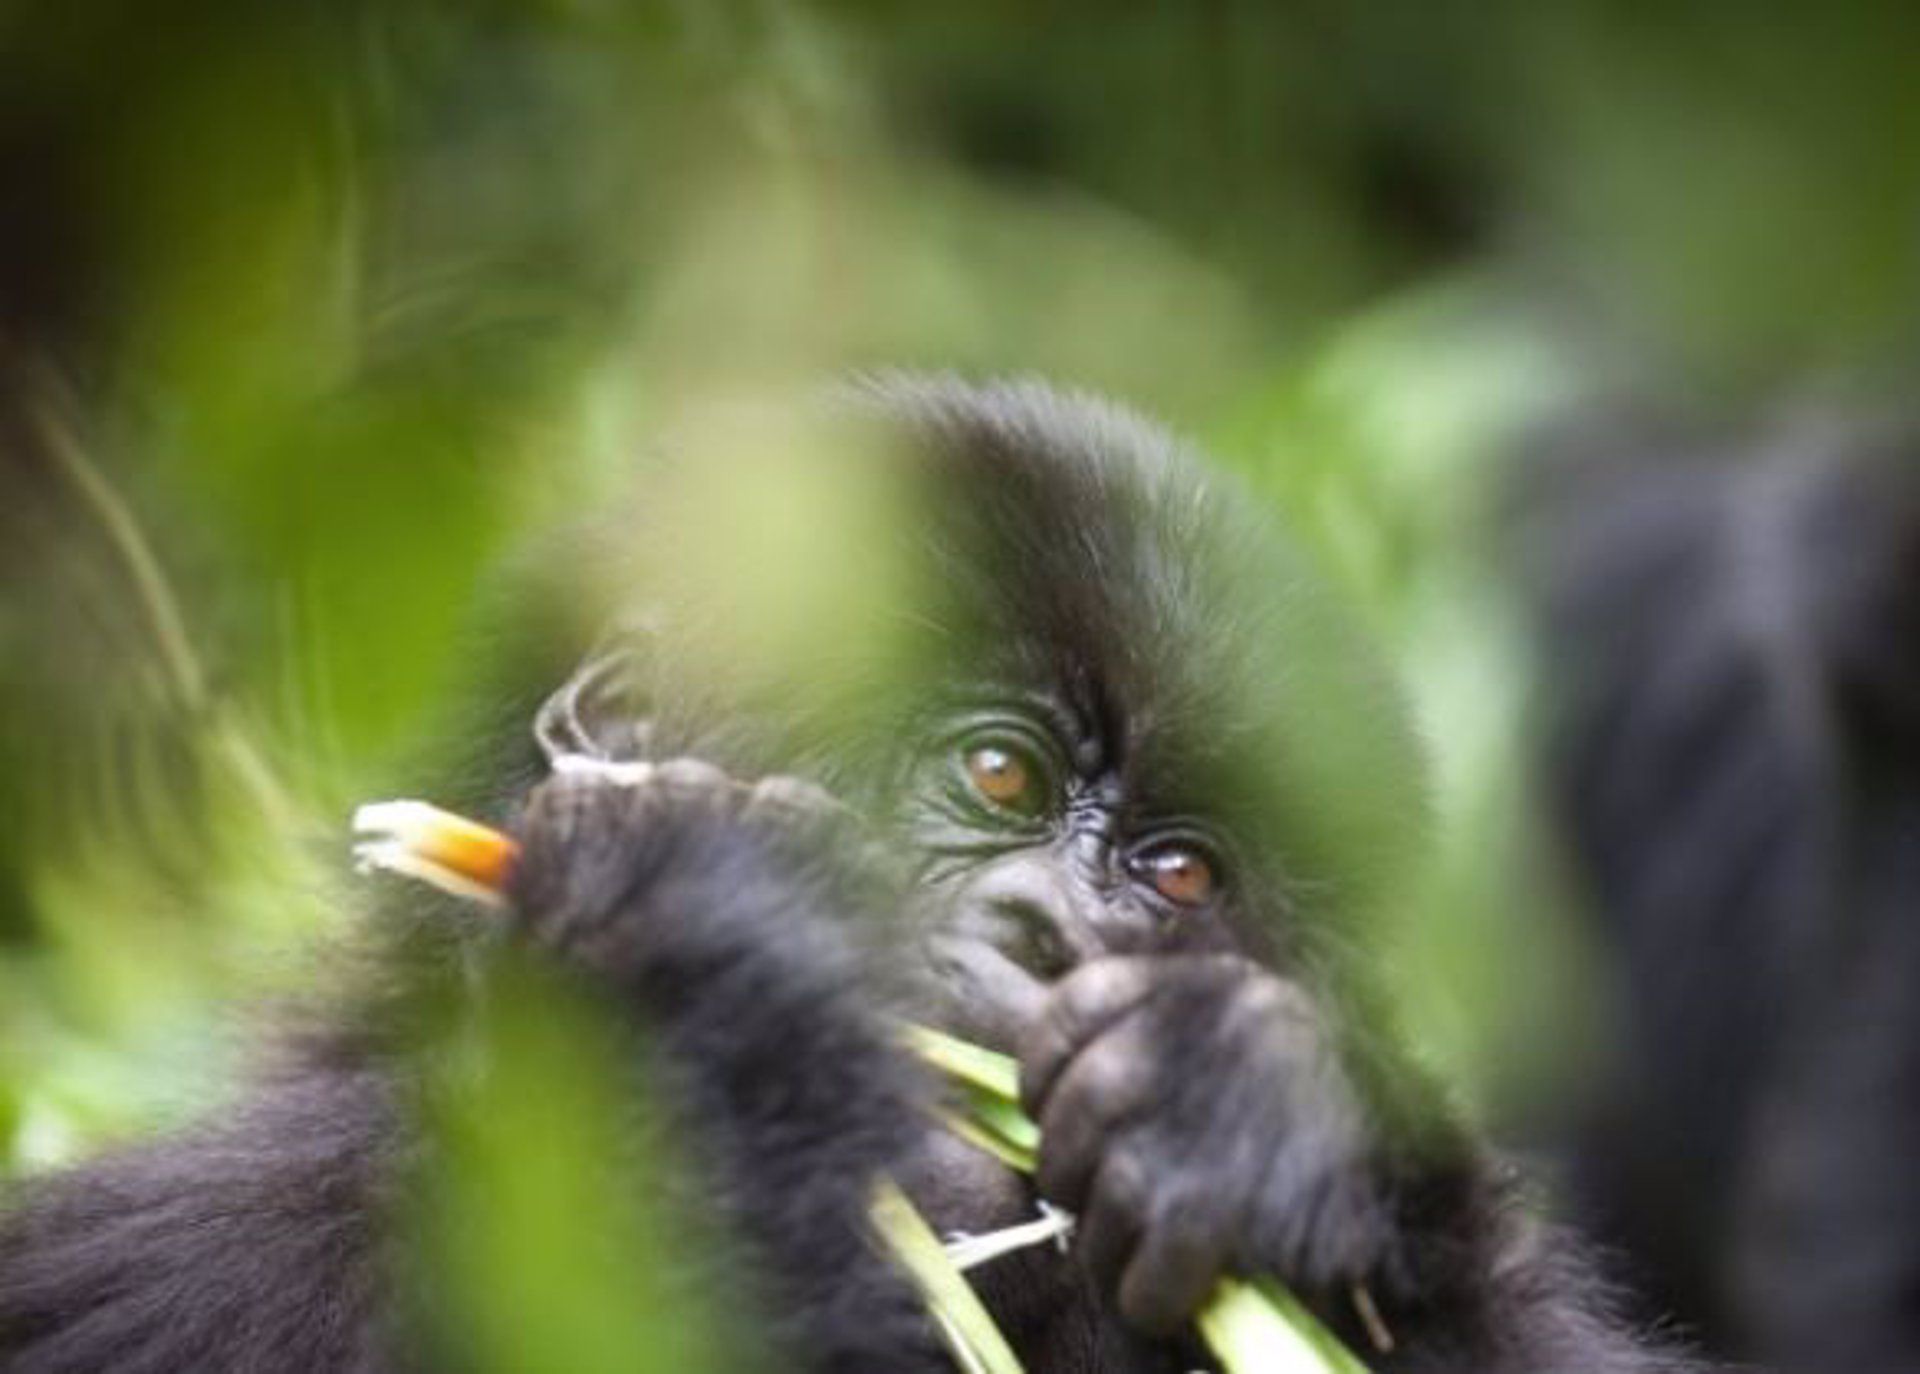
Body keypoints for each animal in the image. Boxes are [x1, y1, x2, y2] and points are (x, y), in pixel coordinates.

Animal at [0, 378, 1697, 1374]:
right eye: (1000, 776)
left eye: (1180, 874)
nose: (1055, 936)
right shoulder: (205, 1226)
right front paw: (690, 984)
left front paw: (1280, 1108)